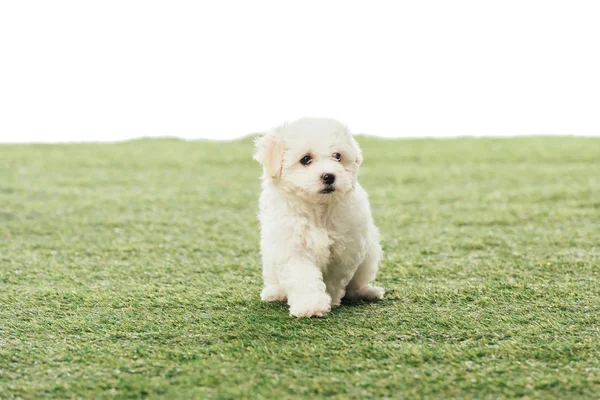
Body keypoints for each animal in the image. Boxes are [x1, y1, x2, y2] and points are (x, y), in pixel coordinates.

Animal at [253, 117, 384, 318]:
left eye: (337, 156)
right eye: (305, 159)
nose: (329, 176)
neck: (318, 208)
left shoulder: (344, 250)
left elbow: (334, 279)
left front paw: (331, 298)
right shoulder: (293, 247)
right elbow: (303, 277)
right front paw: (311, 306)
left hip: (369, 257)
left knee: (355, 284)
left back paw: (366, 292)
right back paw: (275, 293)